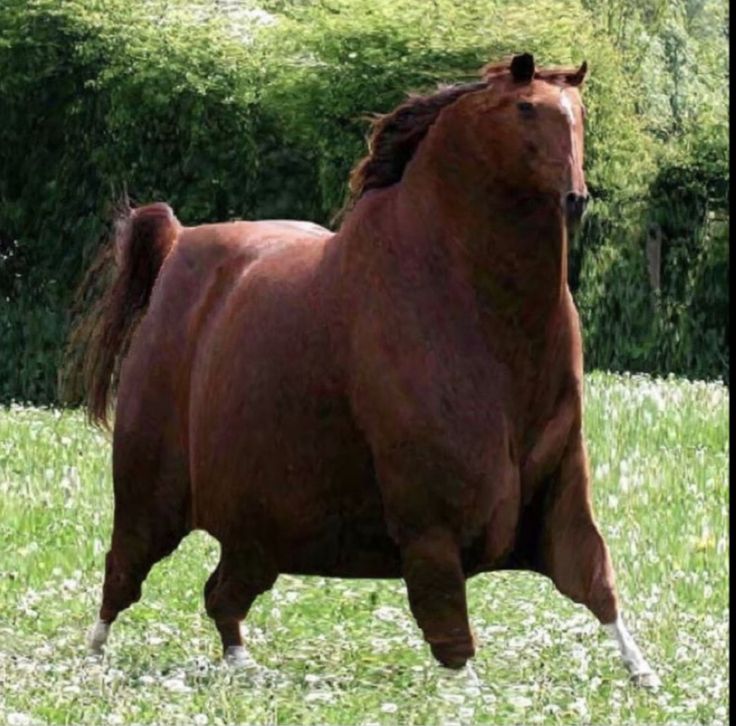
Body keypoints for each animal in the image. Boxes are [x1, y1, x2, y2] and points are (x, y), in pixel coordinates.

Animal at [73, 52, 660, 688]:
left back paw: (242, 664)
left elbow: (594, 577)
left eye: (578, 113)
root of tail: (179, 243)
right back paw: (92, 659)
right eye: (527, 108)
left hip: (261, 530)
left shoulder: (560, 490)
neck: (467, 301)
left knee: (222, 593)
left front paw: (645, 674)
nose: (576, 199)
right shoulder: (430, 524)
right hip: (150, 492)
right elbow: (451, 630)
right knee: (123, 571)